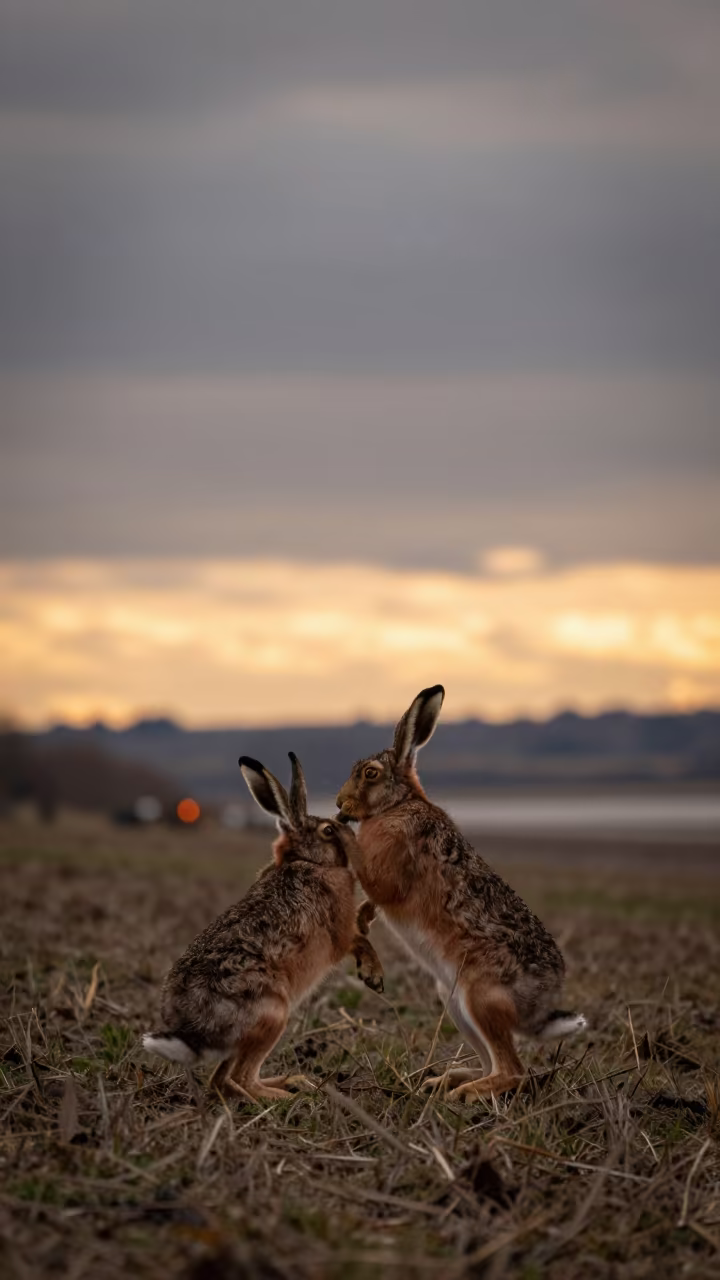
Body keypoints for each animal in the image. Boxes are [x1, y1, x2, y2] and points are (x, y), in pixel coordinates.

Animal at [143, 752, 383, 1100]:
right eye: (327, 830)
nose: (343, 823)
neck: (310, 861)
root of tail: (193, 1033)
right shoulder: (340, 932)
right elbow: (360, 941)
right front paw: (373, 975)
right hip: (272, 1014)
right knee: (238, 1079)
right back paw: (285, 1096)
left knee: (222, 1080)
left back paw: (294, 1082)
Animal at [336, 685, 587, 1100]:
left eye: (370, 774)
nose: (339, 805)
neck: (398, 805)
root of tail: (539, 1009)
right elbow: (373, 899)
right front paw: (362, 918)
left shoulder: (390, 866)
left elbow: (374, 879)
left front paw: (338, 832)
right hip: (452, 999)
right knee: (492, 1062)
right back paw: (446, 1081)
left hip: (480, 996)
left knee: (512, 1071)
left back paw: (465, 1093)